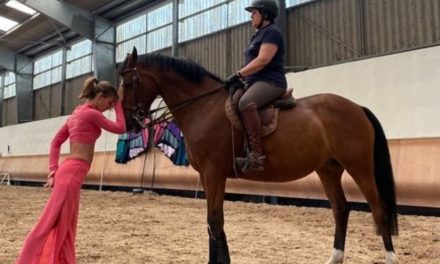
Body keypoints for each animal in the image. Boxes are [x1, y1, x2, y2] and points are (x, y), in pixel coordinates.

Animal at [119, 47, 398, 264]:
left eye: (129, 83)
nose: (130, 124)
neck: (203, 106)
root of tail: (357, 107)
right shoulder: (208, 177)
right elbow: (213, 222)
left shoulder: (214, 173)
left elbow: (215, 220)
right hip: (328, 169)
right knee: (341, 209)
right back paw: (334, 258)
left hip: (360, 167)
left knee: (379, 209)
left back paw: (389, 257)